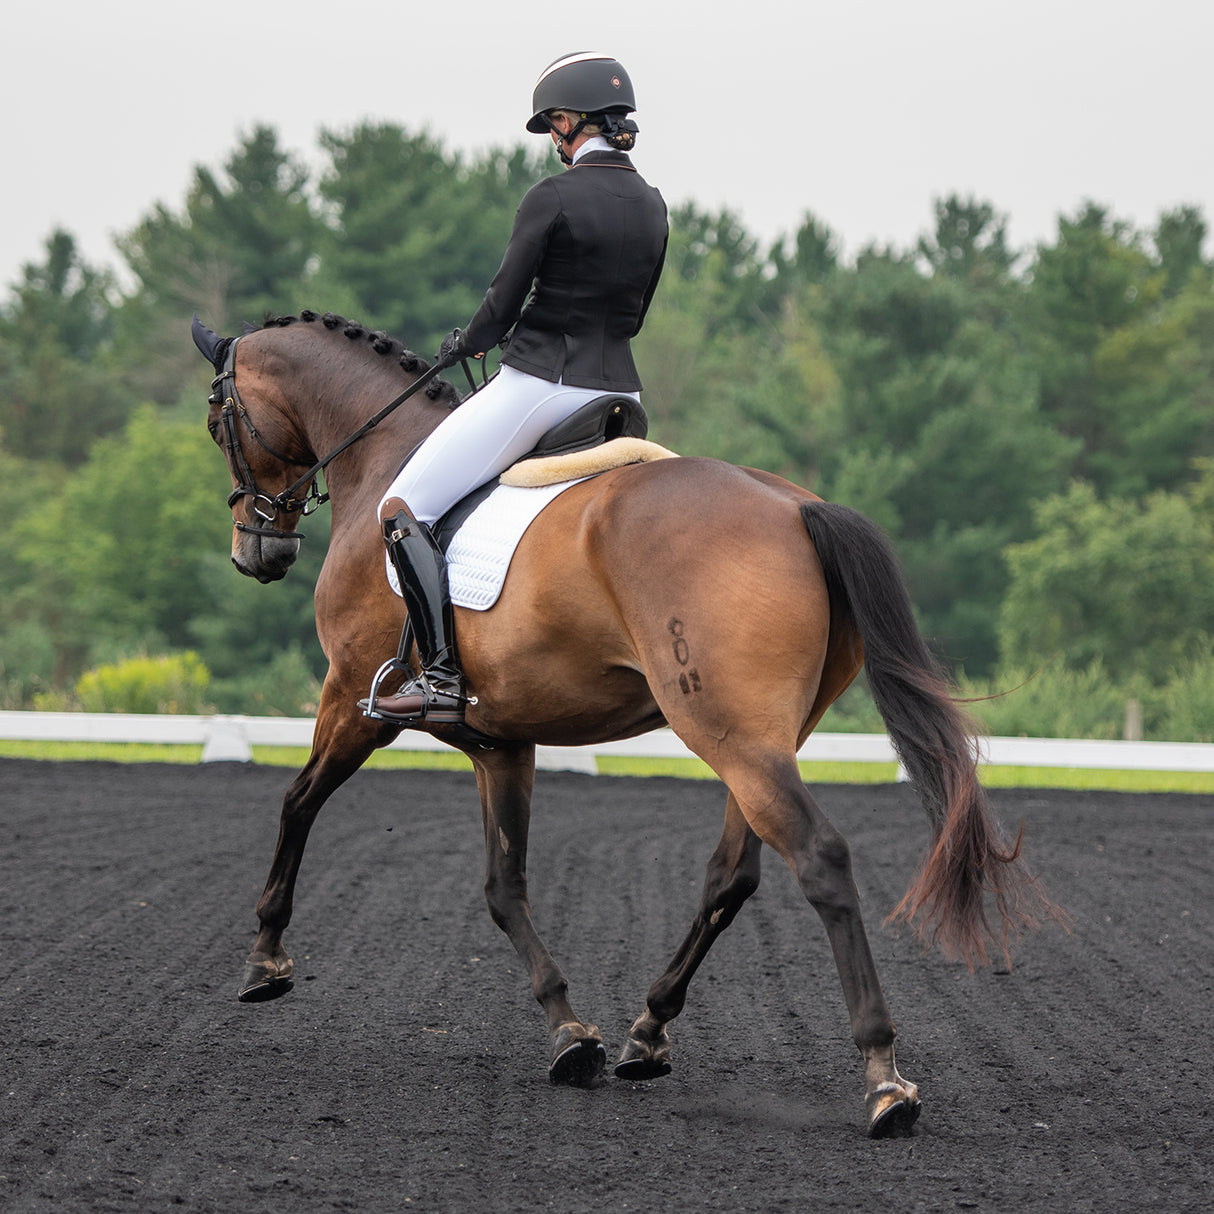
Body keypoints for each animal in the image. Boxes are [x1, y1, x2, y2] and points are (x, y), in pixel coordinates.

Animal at [191, 305, 1063, 1136]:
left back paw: (884, 1080)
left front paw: (265, 961)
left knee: (818, 859)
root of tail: (797, 507)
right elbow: (503, 885)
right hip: (758, 740)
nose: (255, 551)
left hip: (730, 736)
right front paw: (571, 1032)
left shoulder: (352, 701)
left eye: (215, 419)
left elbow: (298, 803)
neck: (383, 456)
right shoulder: (500, 743)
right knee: (732, 874)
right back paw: (648, 1032)